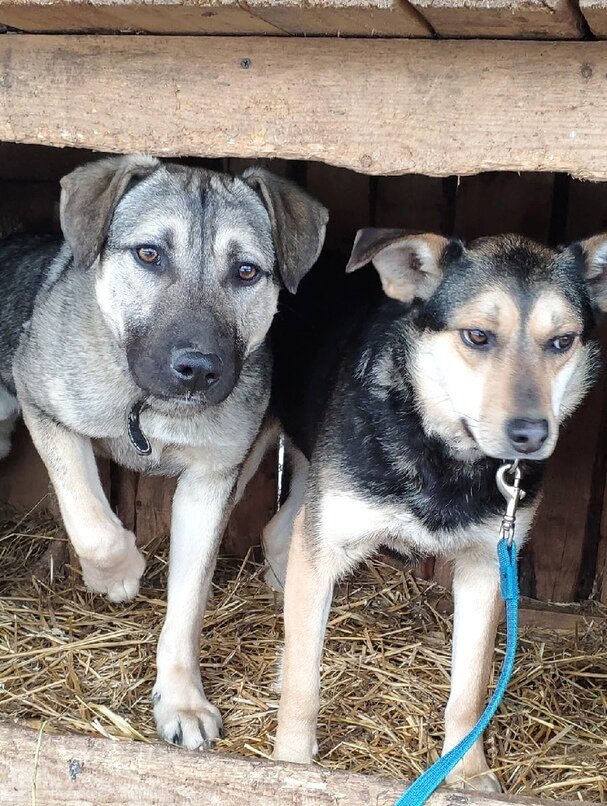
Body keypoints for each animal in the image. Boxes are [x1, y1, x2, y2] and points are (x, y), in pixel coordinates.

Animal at [268, 229, 607, 796]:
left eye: (562, 342)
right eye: (477, 336)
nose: (532, 435)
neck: (445, 455)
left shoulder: (488, 567)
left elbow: (469, 693)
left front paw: (467, 775)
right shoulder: (326, 543)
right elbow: (304, 681)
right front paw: (291, 767)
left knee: (277, 535)